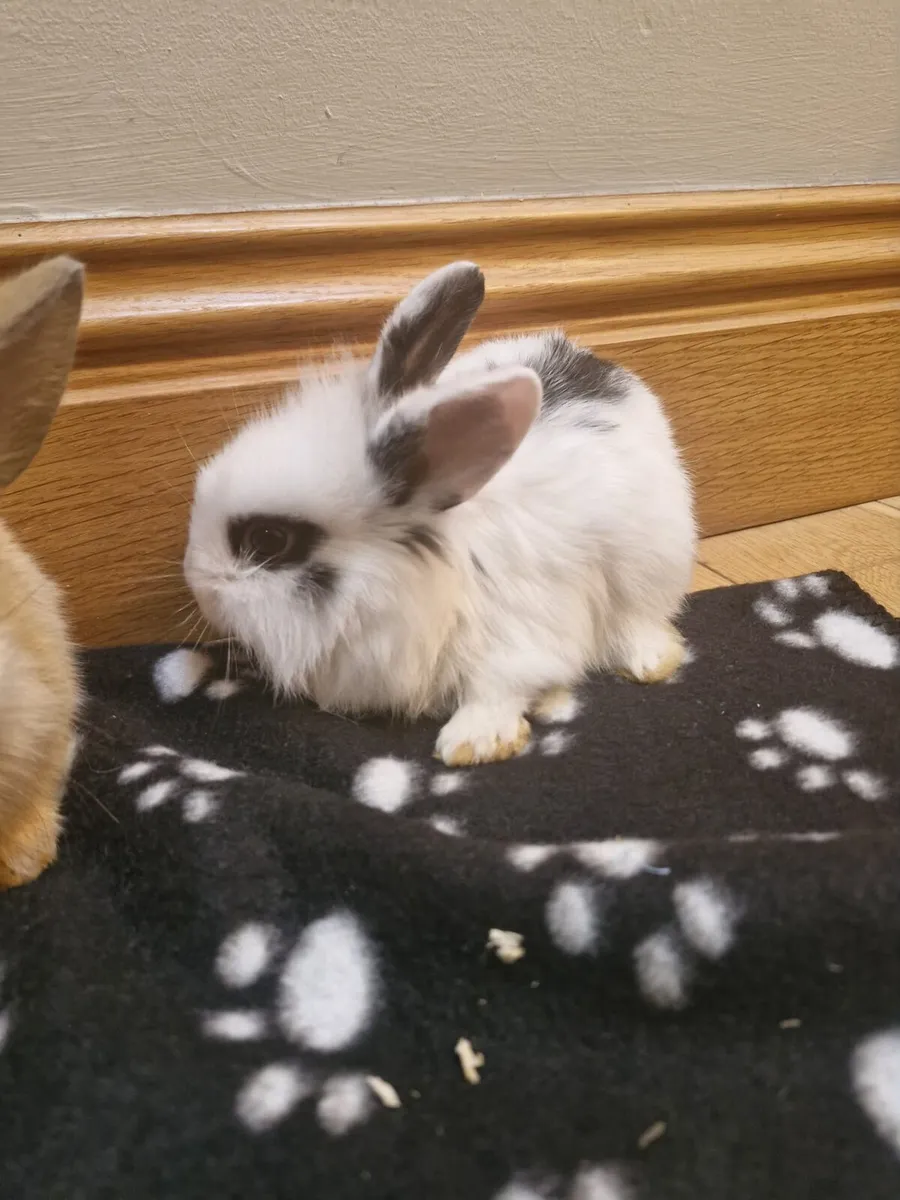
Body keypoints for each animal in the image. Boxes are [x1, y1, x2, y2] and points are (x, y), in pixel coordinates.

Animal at [184, 261, 696, 767]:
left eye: (268, 539)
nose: (197, 583)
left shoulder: (518, 640)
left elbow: (499, 690)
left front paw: (473, 743)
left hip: (650, 563)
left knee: (638, 618)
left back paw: (649, 663)